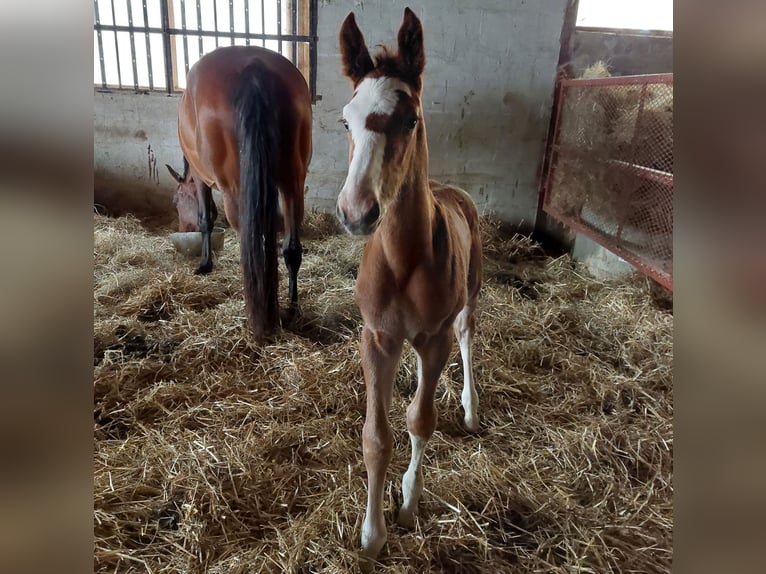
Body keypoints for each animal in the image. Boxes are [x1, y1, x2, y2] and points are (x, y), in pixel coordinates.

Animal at [166, 48, 314, 342]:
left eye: (177, 201)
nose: (182, 227)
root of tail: (253, 69)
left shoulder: (201, 178)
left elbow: (206, 219)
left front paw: (205, 264)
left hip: (236, 192)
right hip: (293, 181)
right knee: (291, 248)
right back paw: (290, 307)